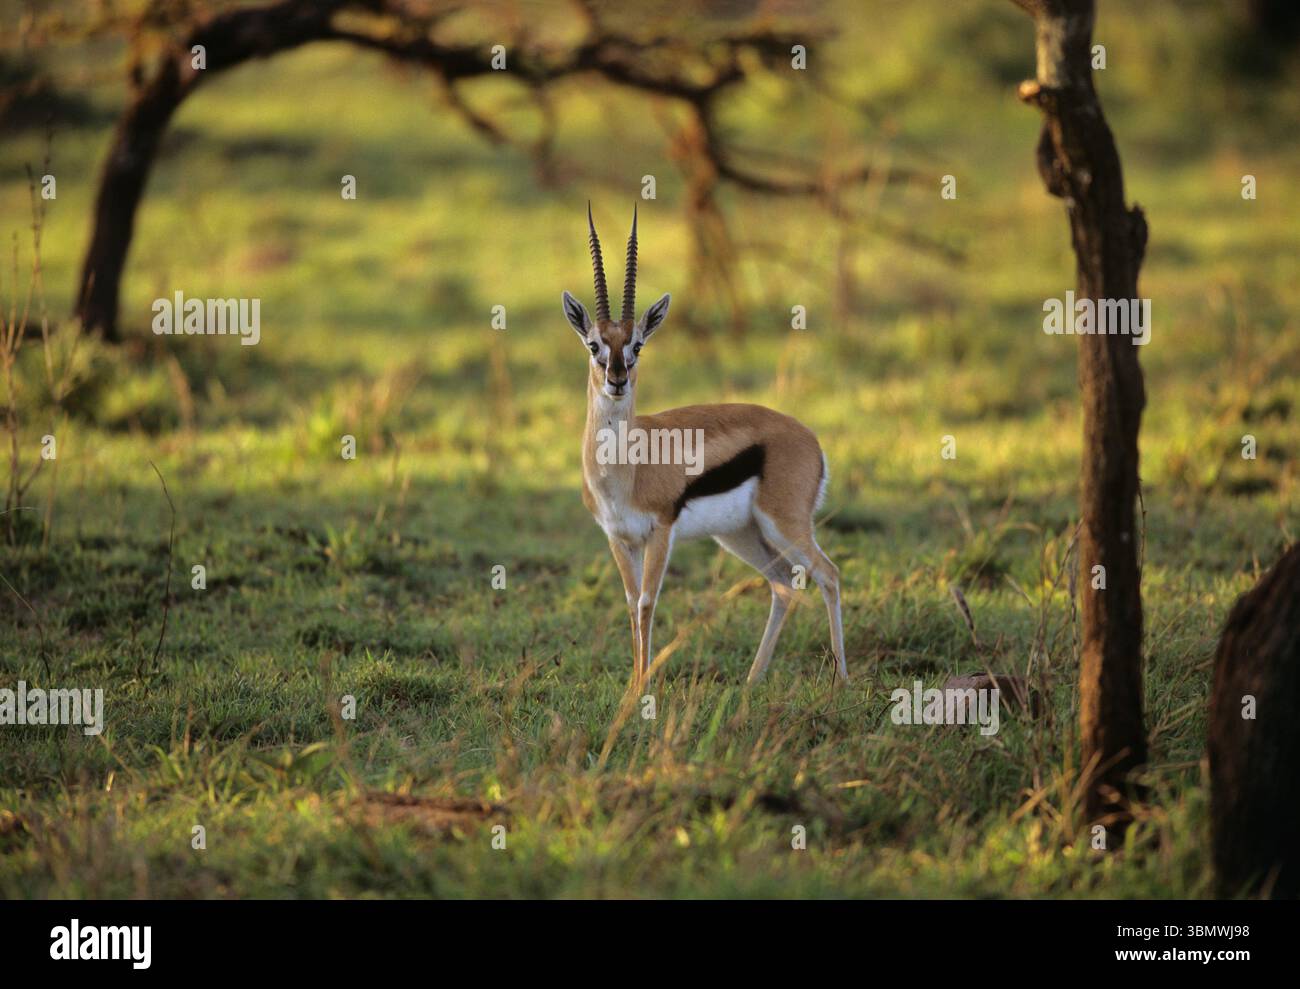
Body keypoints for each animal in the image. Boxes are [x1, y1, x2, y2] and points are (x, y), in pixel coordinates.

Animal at [562, 204, 848, 686]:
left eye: (637, 345)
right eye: (593, 344)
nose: (617, 380)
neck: (625, 470)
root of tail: (809, 438)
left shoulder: (660, 532)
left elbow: (647, 603)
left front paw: (642, 688)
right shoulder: (619, 539)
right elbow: (630, 604)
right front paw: (633, 684)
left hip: (785, 525)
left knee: (828, 575)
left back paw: (841, 680)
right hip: (740, 533)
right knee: (782, 584)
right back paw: (752, 680)